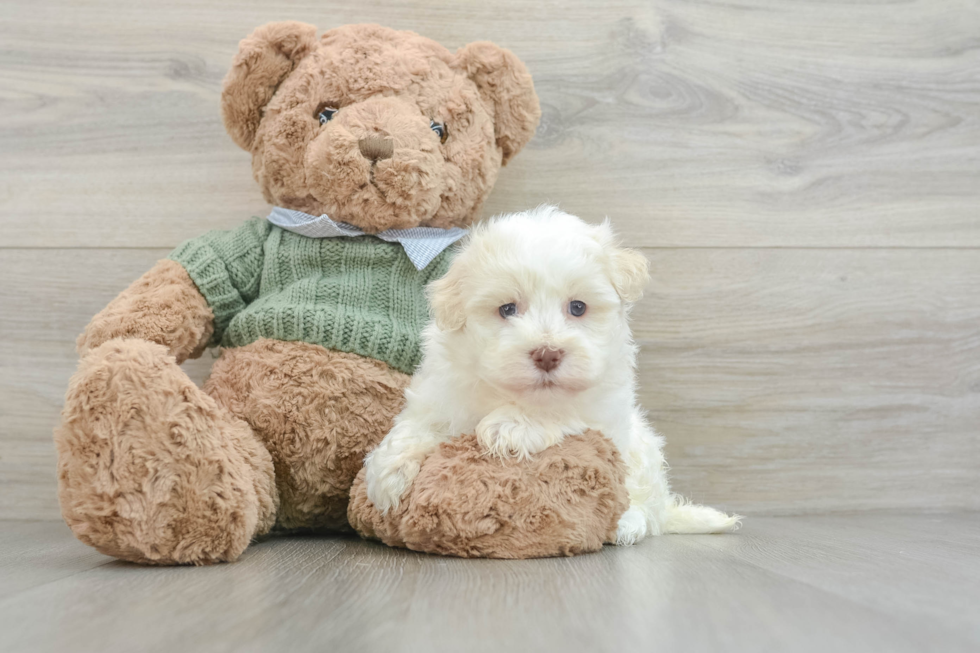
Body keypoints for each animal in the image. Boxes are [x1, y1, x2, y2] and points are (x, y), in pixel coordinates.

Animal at [364, 206, 740, 544]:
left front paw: (509, 426)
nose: (547, 354)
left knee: (644, 507)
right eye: (507, 309)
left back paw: (627, 524)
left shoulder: (603, 411)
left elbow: (561, 411)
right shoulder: (443, 393)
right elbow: (416, 426)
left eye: (578, 307)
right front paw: (387, 472)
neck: (510, 394)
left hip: (642, 456)